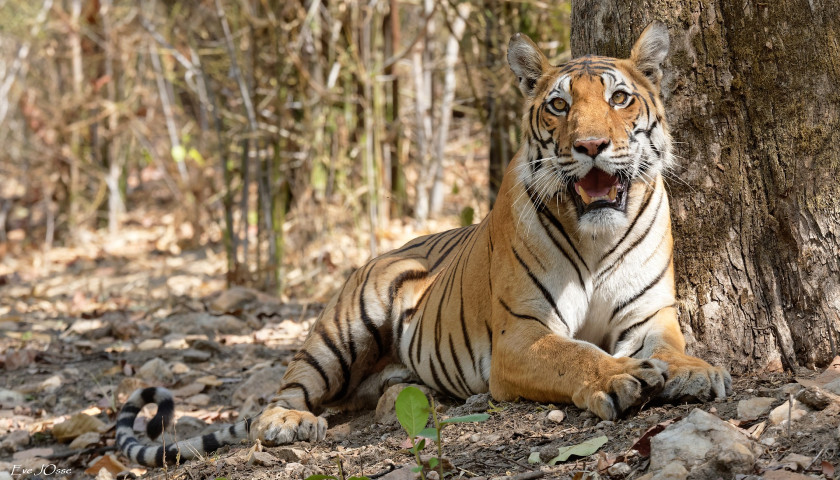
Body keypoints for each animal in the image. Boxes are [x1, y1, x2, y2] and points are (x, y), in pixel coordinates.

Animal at [115, 20, 732, 466]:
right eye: (559, 105)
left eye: (621, 98)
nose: (591, 145)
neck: (597, 234)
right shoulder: (522, 335)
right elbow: (576, 353)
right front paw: (621, 376)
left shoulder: (649, 315)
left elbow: (670, 347)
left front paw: (695, 371)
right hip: (342, 329)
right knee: (289, 388)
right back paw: (288, 422)